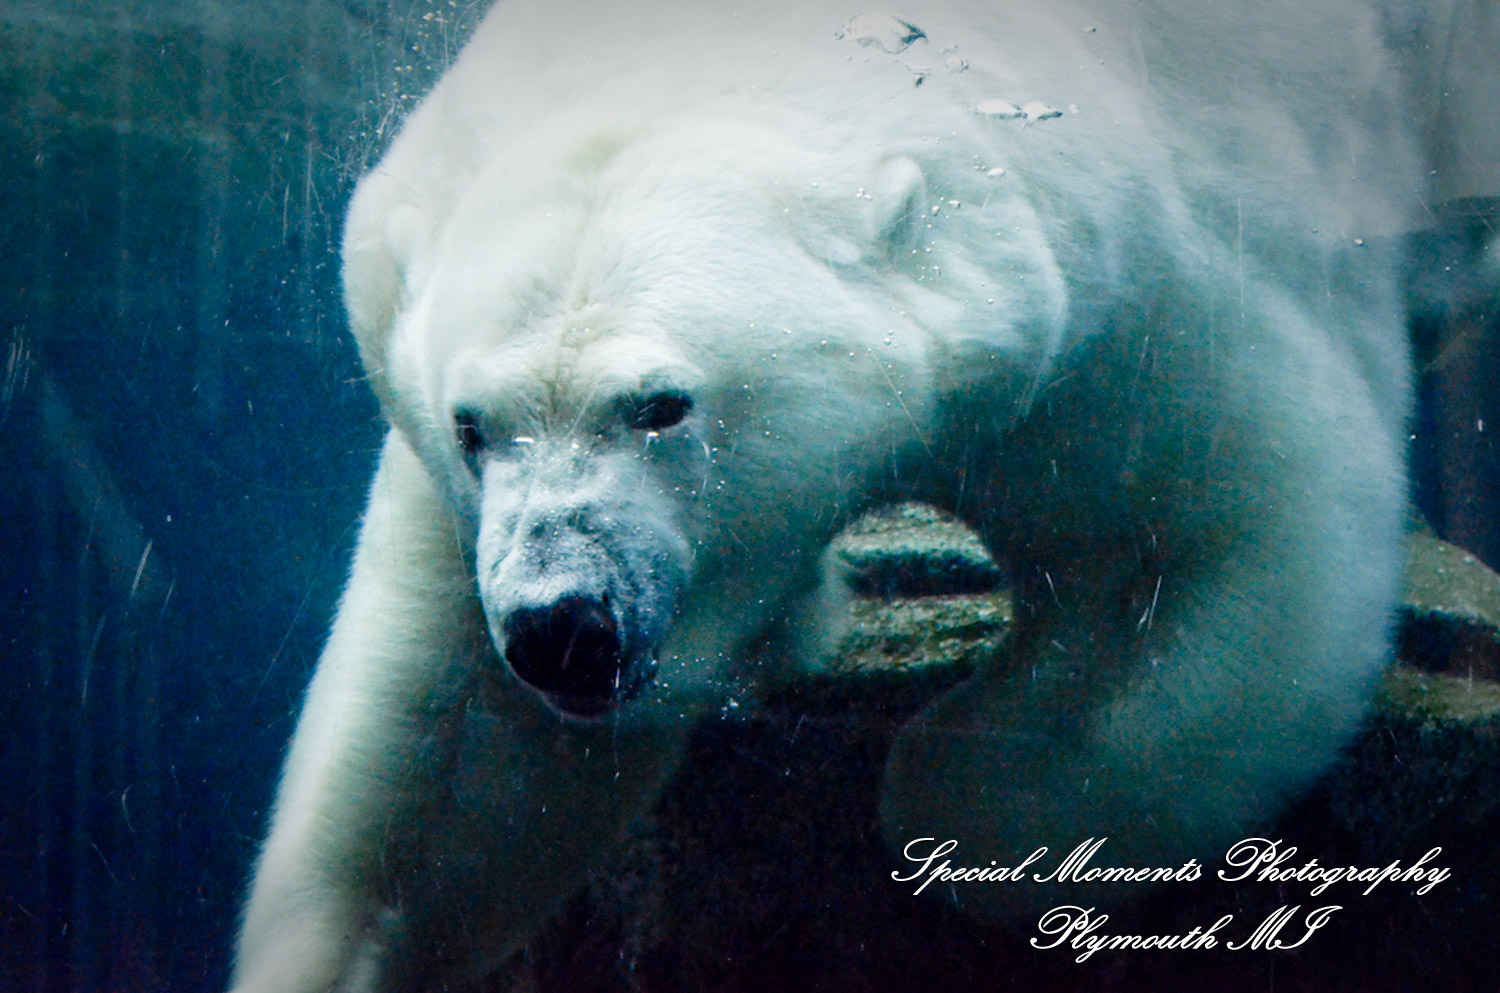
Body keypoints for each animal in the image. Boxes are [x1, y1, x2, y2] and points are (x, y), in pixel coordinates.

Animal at [230, 1, 1423, 990]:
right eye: (473, 425)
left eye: (662, 405)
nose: (559, 625)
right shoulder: (465, 509)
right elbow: (450, 774)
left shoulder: (1137, 317)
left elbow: (1222, 539)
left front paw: (950, 802)